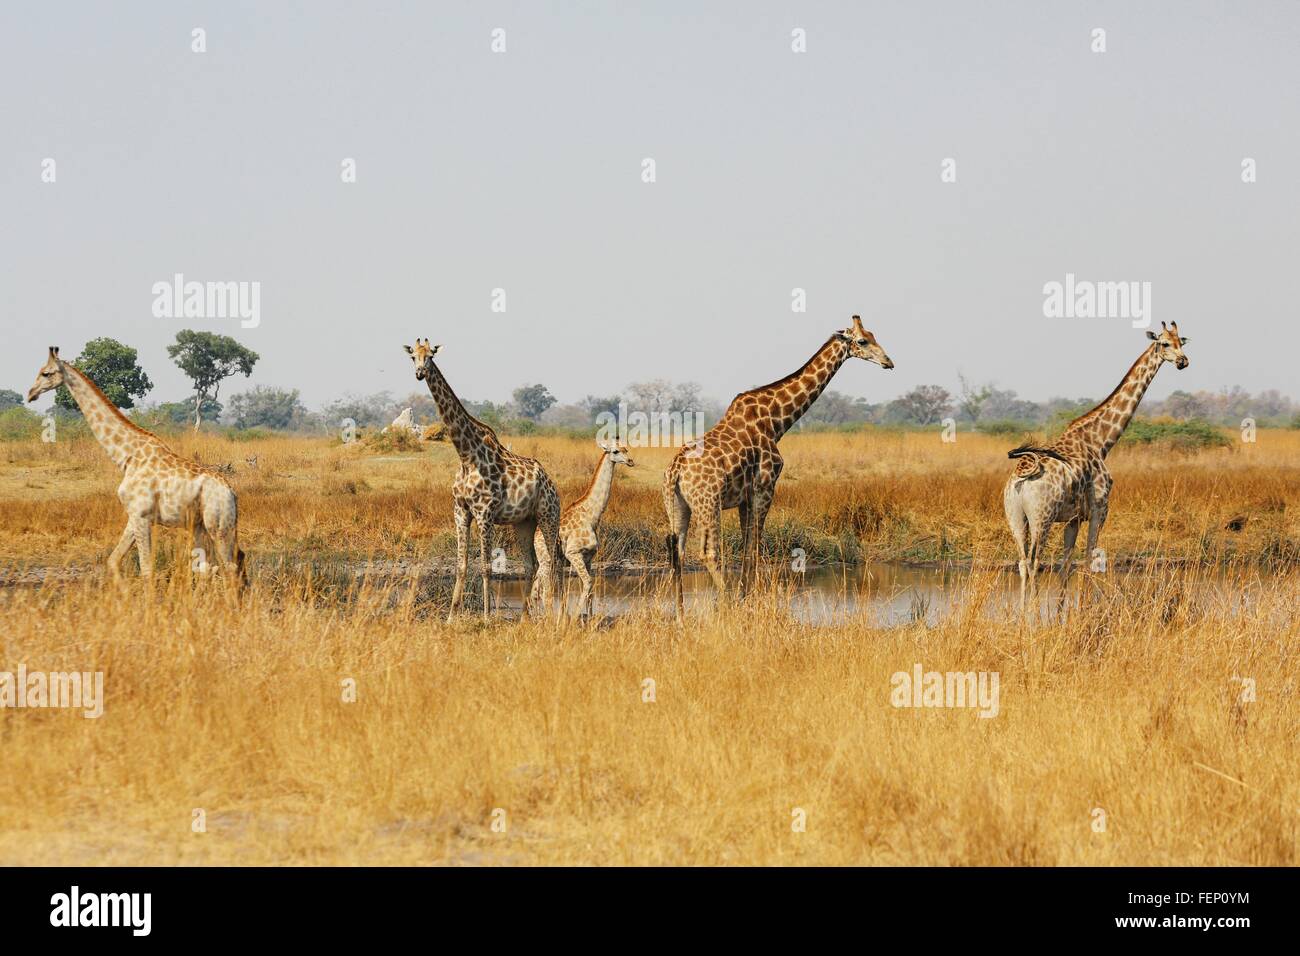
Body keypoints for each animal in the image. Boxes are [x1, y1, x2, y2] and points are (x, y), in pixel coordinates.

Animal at [403, 340, 561, 624]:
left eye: (430, 356)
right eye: (413, 357)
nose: (420, 373)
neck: (466, 455)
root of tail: (551, 483)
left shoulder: (484, 513)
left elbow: (487, 566)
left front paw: (487, 617)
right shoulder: (460, 512)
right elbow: (461, 565)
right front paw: (451, 617)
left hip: (549, 516)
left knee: (551, 563)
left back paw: (553, 617)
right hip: (524, 522)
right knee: (531, 564)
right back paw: (524, 617)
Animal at [561, 442, 637, 621]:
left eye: (626, 449)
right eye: (615, 451)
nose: (630, 461)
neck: (591, 515)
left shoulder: (589, 556)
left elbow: (590, 587)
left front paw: (589, 619)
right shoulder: (572, 552)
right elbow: (588, 583)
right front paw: (576, 617)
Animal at [660, 316, 894, 621]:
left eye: (874, 335)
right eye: (863, 341)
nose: (889, 362)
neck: (777, 421)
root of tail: (675, 471)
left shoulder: (745, 497)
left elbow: (747, 547)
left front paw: (746, 598)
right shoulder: (765, 487)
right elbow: (755, 547)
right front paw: (747, 603)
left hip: (677, 506)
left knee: (677, 551)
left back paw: (680, 614)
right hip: (708, 502)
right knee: (708, 552)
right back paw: (725, 604)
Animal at [998, 319, 1190, 606]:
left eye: (1182, 342)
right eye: (1165, 343)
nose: (1183, 361)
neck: (1101, 440)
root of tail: (1022, 475)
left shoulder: (1074, 518)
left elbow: (1066, 564)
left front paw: (1062, 611)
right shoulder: (1100, 509)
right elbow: (1090, 559)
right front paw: (1085, 609)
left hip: (1016, 517)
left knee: (1022, 562)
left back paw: (1021, 613)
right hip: (1042, 518)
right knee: (1034, 561)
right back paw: (1032, 612)